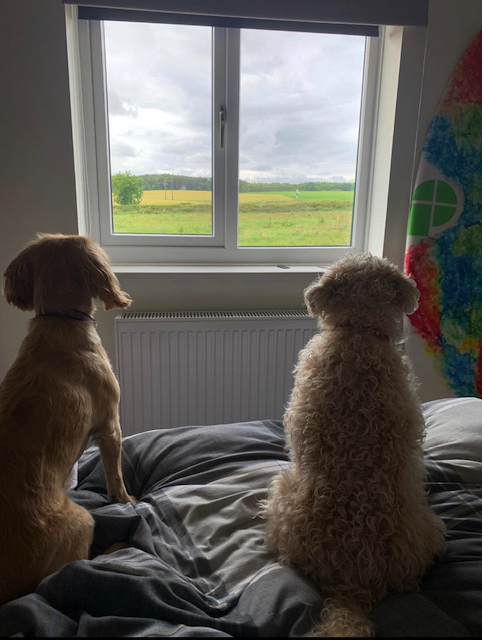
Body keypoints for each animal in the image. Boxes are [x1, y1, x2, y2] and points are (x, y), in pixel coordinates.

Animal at [0, 232, 134, 604]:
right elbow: (116, 479)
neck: (61, 319)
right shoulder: (111, 427)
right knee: (73, 570)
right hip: (82, 519)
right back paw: (118, 547)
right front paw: (129, 501)